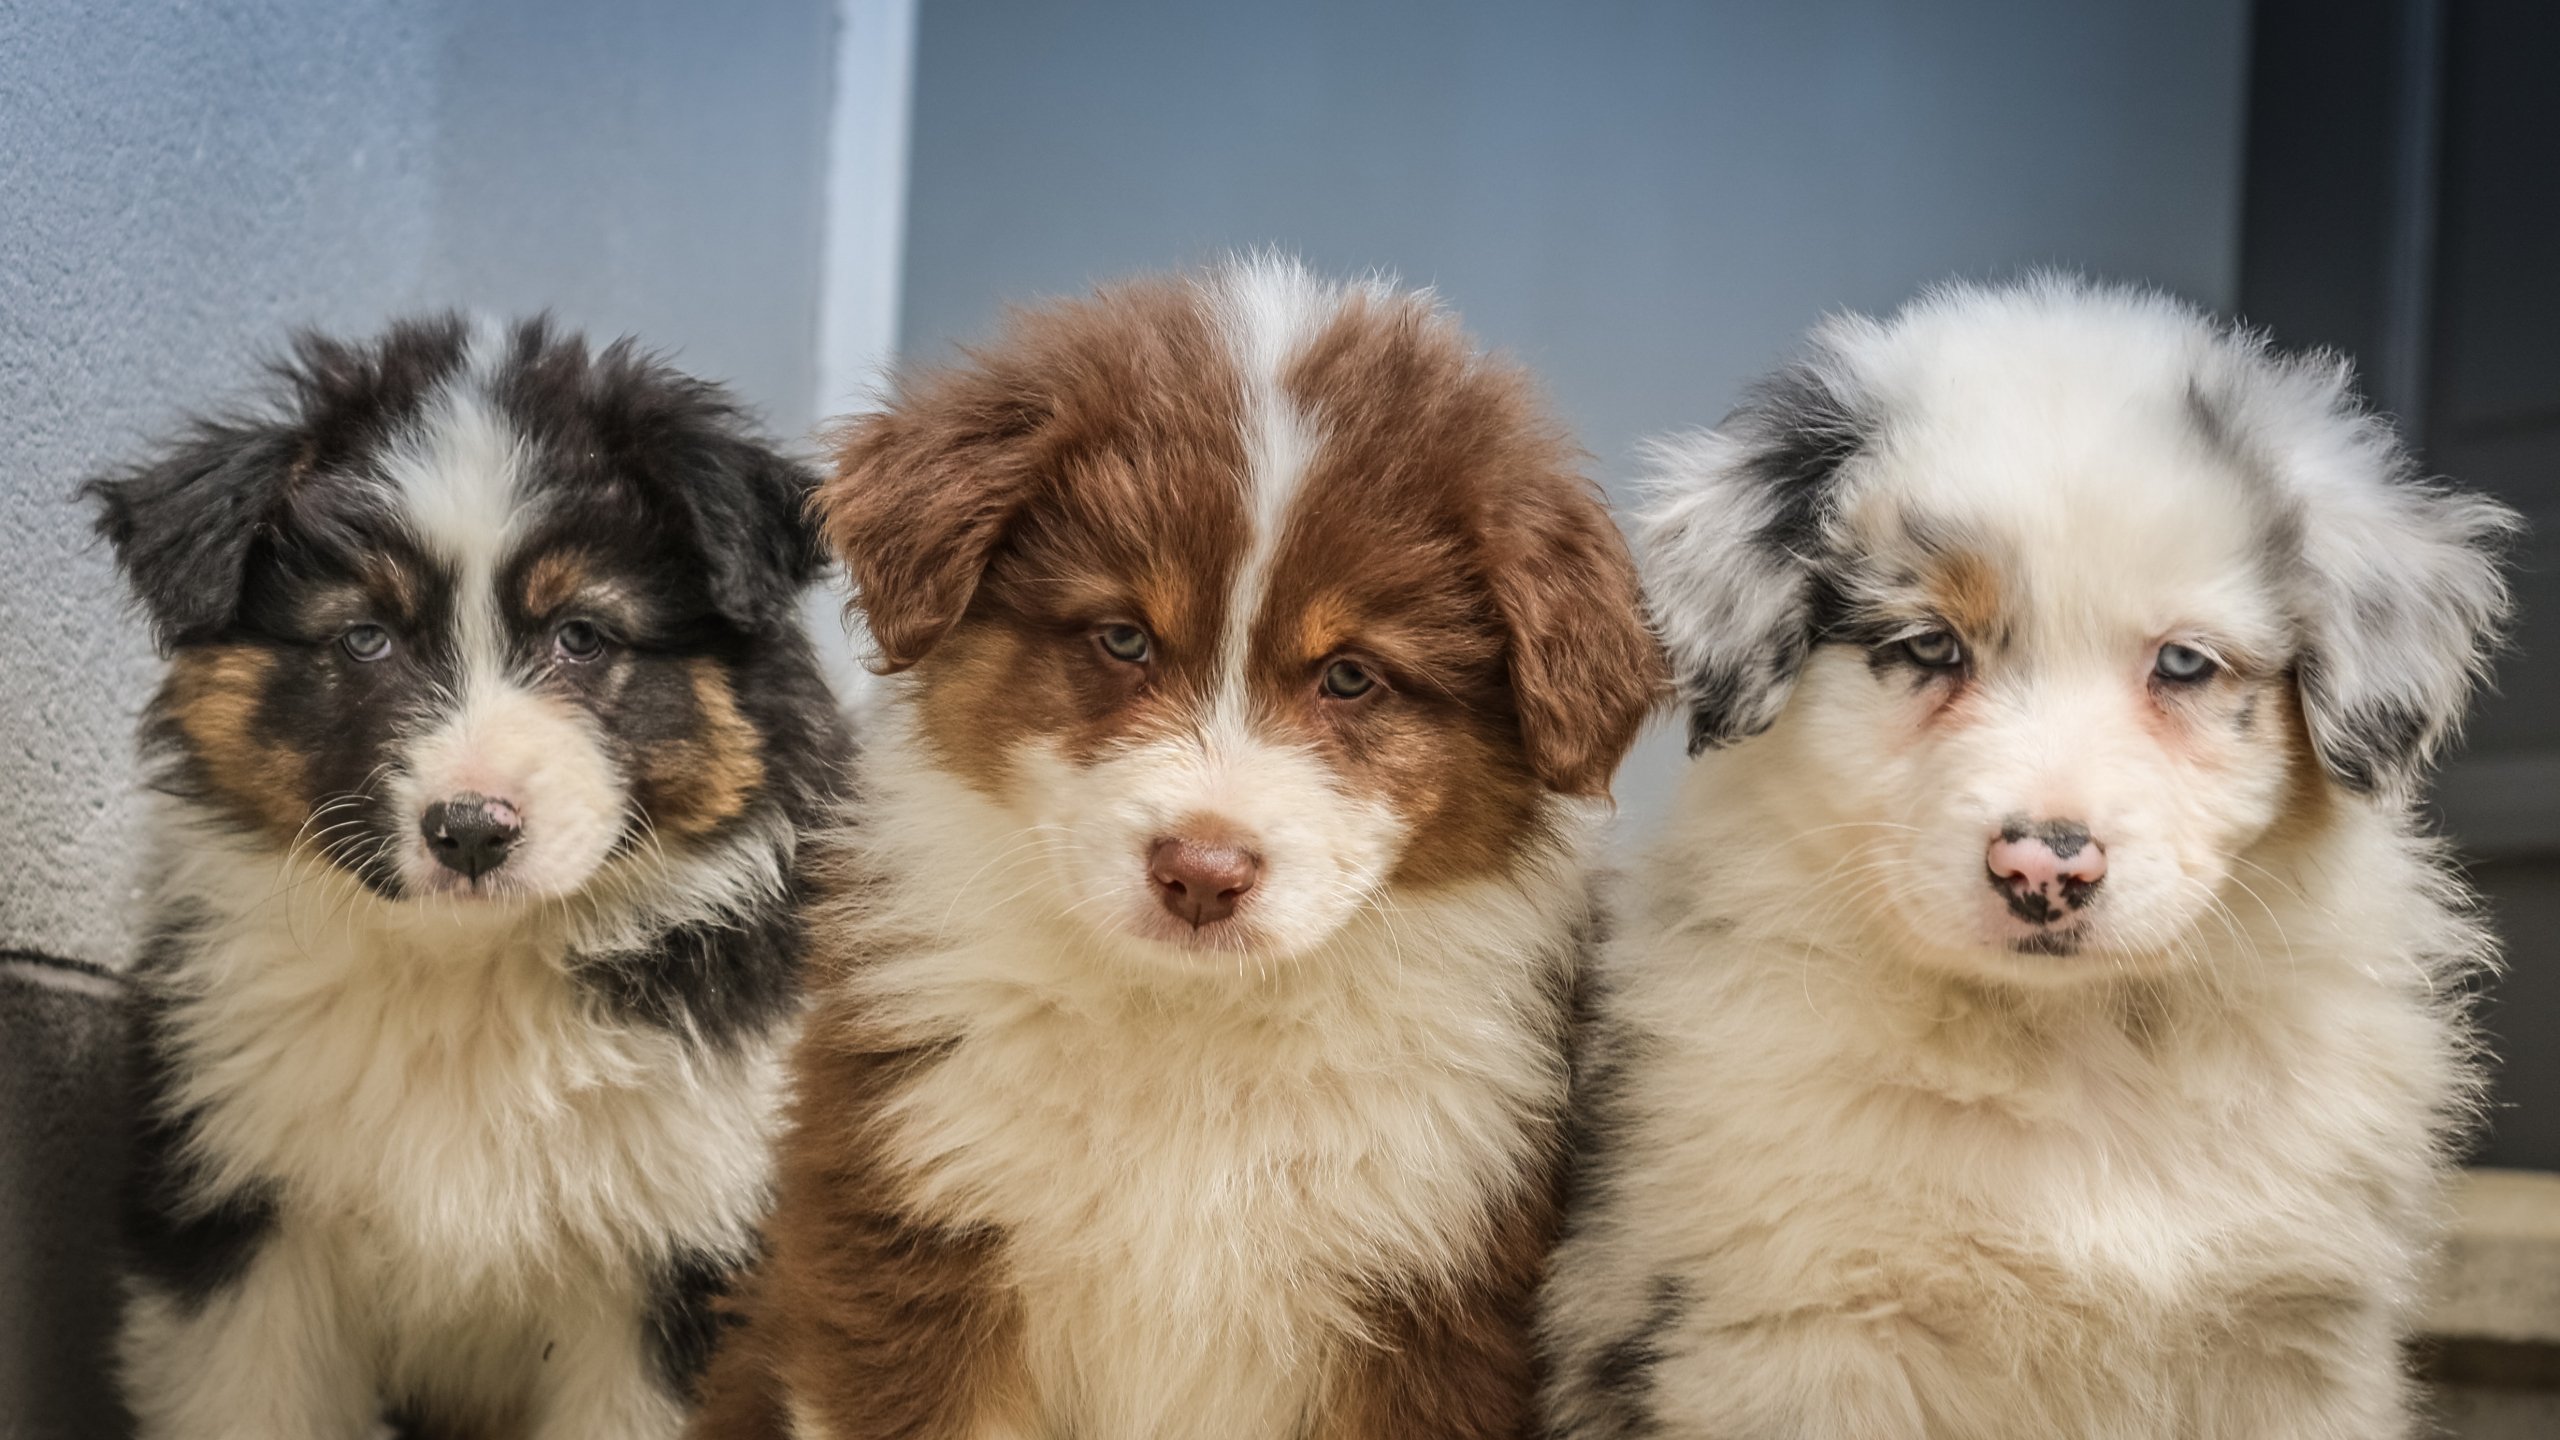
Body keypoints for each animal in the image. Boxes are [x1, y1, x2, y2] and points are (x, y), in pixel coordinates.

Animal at [86, 315, 852, 1439]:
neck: (472, 971)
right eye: (365, 637)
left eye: (582, 636)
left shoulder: (685, 1250)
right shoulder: (242, 1219)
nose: (471, 832)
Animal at [687, 258, 1663, 1440]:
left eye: (1351, 676)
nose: (1202, 873)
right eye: (1123, 638)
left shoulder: (1430, 1290)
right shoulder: (914, 1233)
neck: (1195, 1030)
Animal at [1538, 277, 2513, 1439]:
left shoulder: (2289, 1342)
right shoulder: (1798, 1329)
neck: (2070, 1045)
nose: (2044, 872)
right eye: (1929, 647)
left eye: (2184, 664)